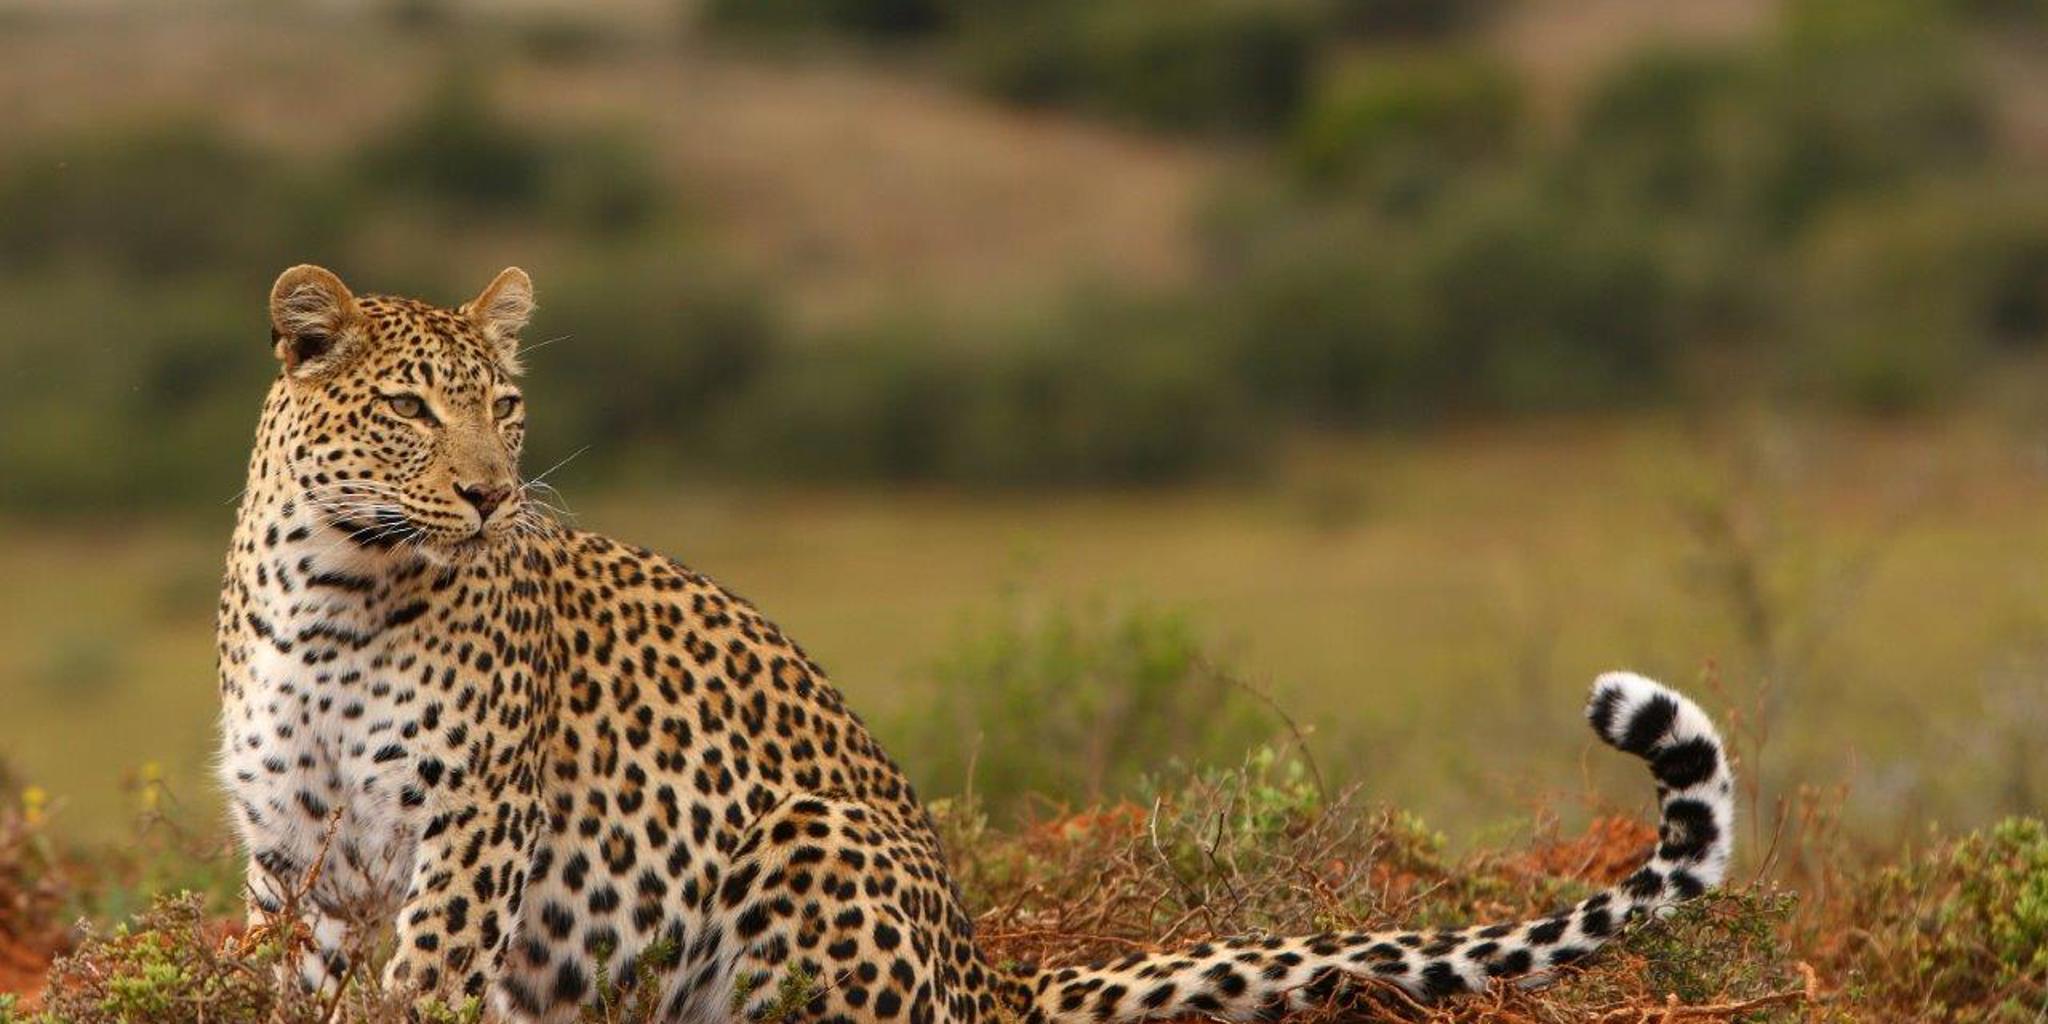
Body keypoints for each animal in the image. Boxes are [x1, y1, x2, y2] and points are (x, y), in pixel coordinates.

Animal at [218, 263, 1737, 1024]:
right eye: (413, 408)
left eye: (508, 406)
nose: (492, 493)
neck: (339, 590)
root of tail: (982, 962)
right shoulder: (288, 849)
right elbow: (293, 982)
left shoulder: (469, 826)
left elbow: (425, 982)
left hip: (809, 845)